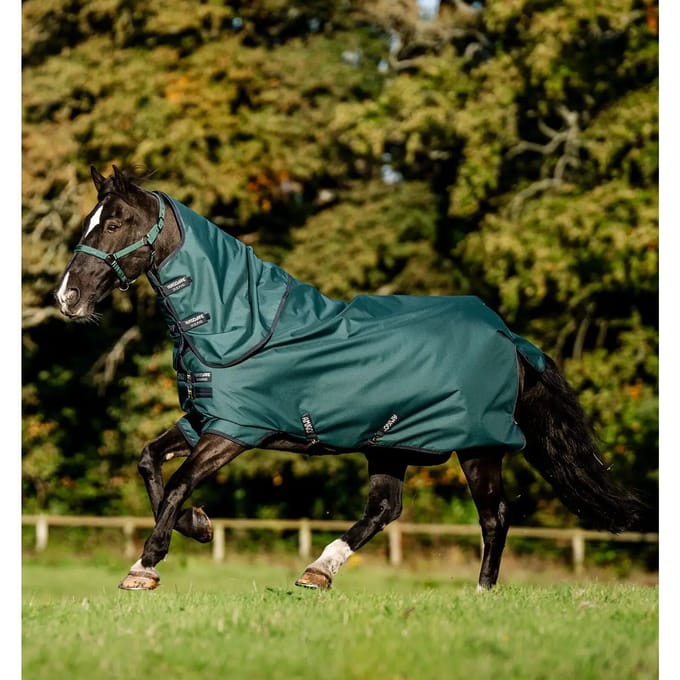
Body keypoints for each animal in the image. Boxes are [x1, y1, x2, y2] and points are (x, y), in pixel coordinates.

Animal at [54, 166, 650, 591]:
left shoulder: (234, 431)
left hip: (478, 446)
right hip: (393, 443)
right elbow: (149, 463)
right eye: (89, 222)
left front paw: (145, 565)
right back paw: (318, 570)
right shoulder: (203, 419)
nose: (67, 297)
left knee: (494, 516)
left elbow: (178, 483)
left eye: (113, 224)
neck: (236, 323)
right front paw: (198, 527)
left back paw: (481, 593)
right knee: (385, 509)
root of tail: (510, 338)